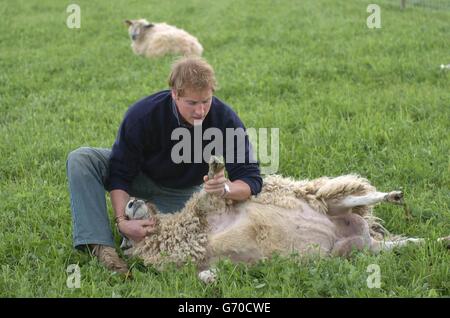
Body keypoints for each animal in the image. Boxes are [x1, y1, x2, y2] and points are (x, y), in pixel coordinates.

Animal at [123, 155, 450, 282]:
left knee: (362, 198)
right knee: (410, 243)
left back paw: (392, 196)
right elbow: (204, 276)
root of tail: (364, 232)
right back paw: (441, 239)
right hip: (361, 251)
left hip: (328, 200)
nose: (130, 202)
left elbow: (212, 186)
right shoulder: (203, 264)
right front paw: (214, 281)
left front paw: (215, 166)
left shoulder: (212, 204)